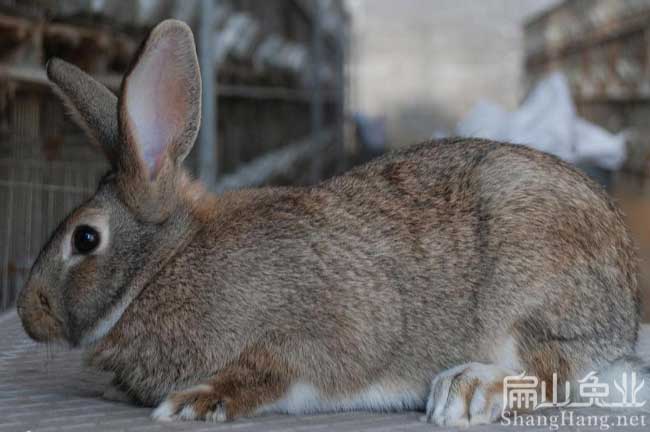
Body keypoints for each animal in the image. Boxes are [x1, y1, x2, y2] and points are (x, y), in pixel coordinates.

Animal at [15, 19, 644, 426]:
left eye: (85, 238)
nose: (26, 313)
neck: (164, 266)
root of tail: (625, 295)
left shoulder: (323, 329)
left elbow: (277, 368)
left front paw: (196, 400)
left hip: (532, 281)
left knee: (551, 369)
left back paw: (466, 391)